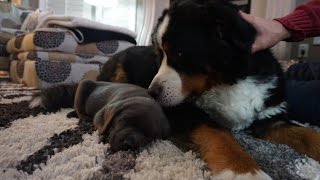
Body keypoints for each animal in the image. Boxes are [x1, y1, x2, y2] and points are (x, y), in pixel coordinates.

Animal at [149, 0, 320, 179]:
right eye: (158, 56)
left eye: (180, 53)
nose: (152, 92)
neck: (227, 82)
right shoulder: (187, 112)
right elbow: (219, 136)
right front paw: (246, 172)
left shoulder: (271, 116)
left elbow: (308, 134)